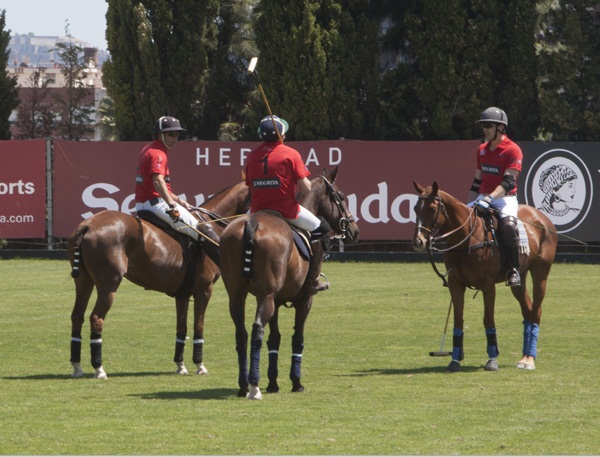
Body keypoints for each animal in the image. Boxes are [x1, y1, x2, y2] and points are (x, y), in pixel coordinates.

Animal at [67, 182, 248, 378]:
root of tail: (87, 225)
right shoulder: (204, 290)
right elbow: (198, 326)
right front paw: (200, 365)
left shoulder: (183, 295)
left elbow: (181, 328)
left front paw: (180, 365)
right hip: (109, 285)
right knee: (96, 318)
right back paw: (99, 368)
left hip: (83, 282)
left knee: (77, 315)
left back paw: (77, 367)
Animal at [220, 166, 360, 398]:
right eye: (340, 196)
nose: (354, 231)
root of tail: (251, 223)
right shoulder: (305, 301)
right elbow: (298, 338)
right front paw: (296, 382)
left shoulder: (276, 301)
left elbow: (275, 339)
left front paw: (273, 383)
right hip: (266, 295)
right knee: (257, 329)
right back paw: (254, 386)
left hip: (236, 294)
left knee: (241, 332)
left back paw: (243, 385)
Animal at [412, 180, 556, 372]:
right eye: (415, 208)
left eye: (433, 208)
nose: (418, 241)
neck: (467, 237)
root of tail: (541, 216)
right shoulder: (455, 283)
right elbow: (458, 320)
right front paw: (455, 359)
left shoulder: (488, 285)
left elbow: (488, 320)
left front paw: (492, 359)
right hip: (520, 277)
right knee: (527, 309)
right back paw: (524, 357)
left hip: (541, 272)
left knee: (537, 310)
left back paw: (529, 359)